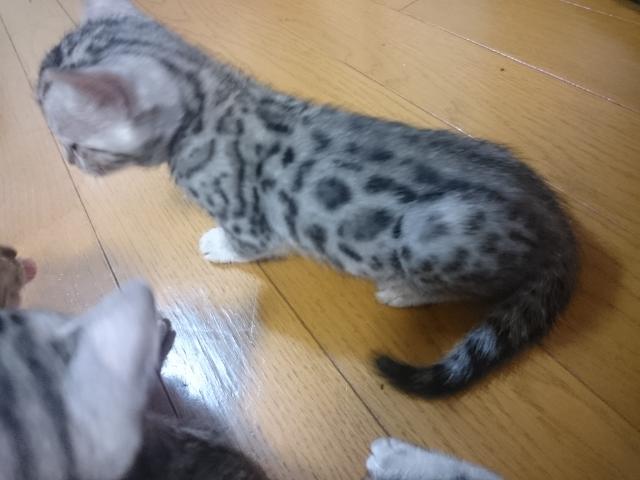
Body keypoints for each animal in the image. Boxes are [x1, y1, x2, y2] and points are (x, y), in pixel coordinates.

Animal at [37, 0, 578, 397]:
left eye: (76, 145)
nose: (67, 161)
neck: (212, 98)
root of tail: (556, 222)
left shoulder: (256, 222)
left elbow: (247, 241)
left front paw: (217, 244)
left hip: (431, 235)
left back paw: (405, 289)